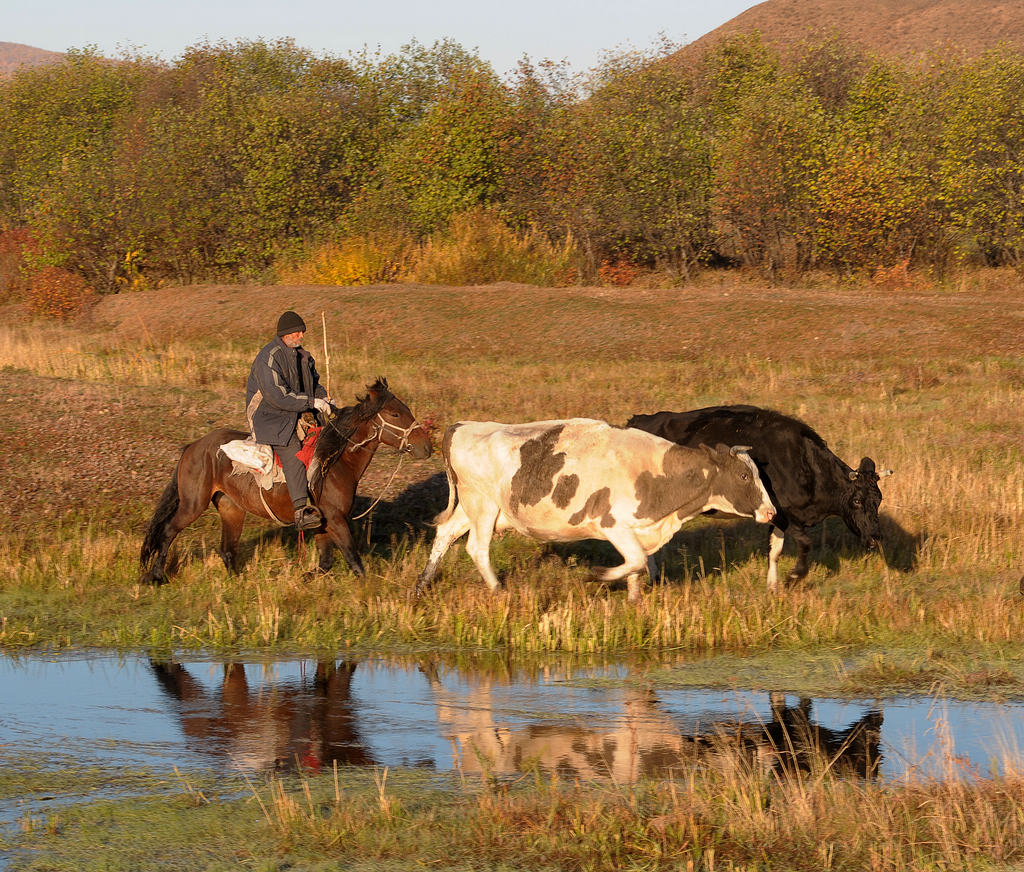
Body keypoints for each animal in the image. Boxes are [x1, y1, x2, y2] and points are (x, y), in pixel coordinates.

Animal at [139, 376, 428, 585]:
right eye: (394, 414)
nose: (426, 446)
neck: (334, 463)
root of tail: (193, 447)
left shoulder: (323, 523)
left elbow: (325, 563)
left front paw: (303, 578)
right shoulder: (336, 520)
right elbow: (354, 561)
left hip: (231, 508)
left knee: (227, 549)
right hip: (193, 504)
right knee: (168, 531)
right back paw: (156, 576)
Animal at [411, 421, 770, 597]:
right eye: (743, 475)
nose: (771, 512)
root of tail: (463, 425)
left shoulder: (638, 530)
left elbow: (639, 566)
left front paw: (634, 600)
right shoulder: (614, 525)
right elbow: (637, 561)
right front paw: (598, 575)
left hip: (475, 509)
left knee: (445, 533)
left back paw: (421, 585)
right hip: (482, 505)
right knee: (476, 548)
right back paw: (499, 590)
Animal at [622, 405, 888, 589]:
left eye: (878, 500)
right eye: (856, 501)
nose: (875, 538)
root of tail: (638, 420)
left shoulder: (777, 517)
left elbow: (775, 551)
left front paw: (772, 585)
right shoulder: (785, 513)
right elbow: (805, 543)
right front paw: (793, 577)